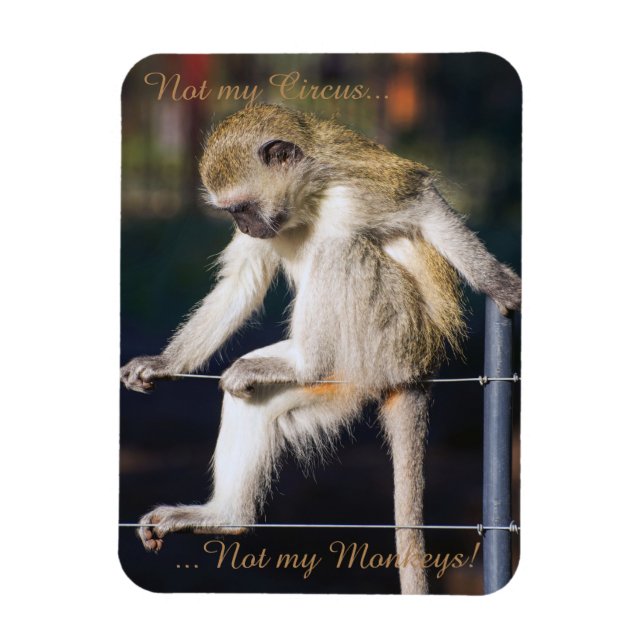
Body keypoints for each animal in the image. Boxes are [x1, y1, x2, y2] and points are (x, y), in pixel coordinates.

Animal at [120, 104, 521, 595]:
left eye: (242, 208)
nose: (244, 226)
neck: (308, 200)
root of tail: (419, 368)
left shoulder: (358, 190)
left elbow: (424, 204)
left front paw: (498, 282)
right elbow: (240, 284)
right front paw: (162, 363)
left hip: (388, 339)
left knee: (340, 249)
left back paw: (306, 362)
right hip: (349, 381)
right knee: (254, 398)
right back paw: (225, 516)